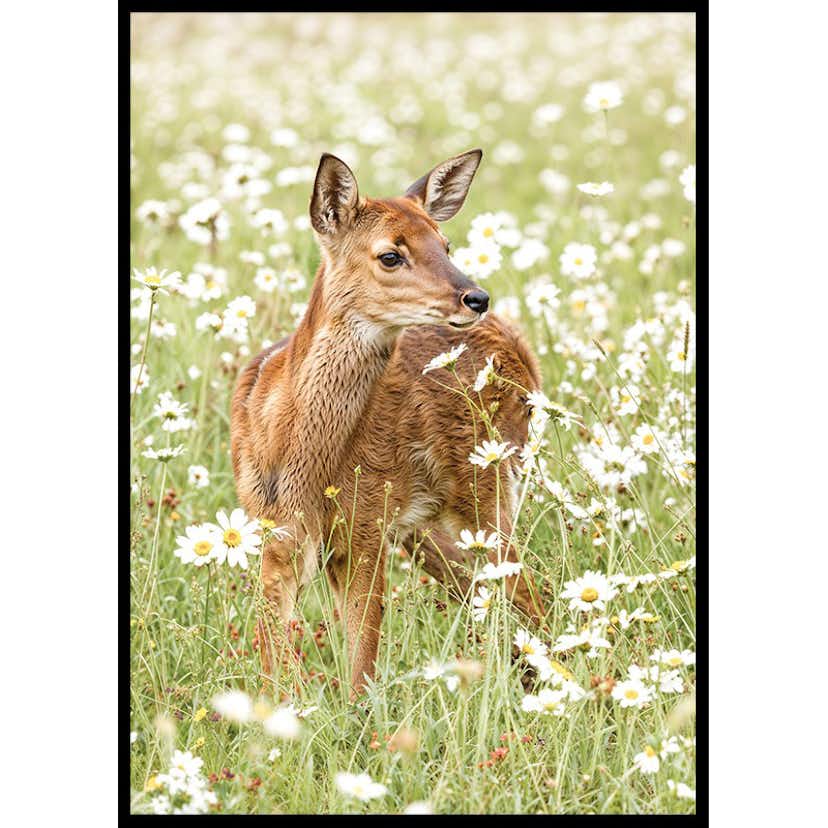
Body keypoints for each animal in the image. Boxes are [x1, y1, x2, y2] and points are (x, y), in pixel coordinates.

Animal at [231, 149, 545, 699]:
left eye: (446, 243)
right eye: (390, 255)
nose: (476, 297)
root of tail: (519, 346)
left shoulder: (365, 529)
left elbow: (361, 667)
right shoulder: (276, 534)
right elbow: (274, 660)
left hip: (488, 489)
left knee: (530, 593)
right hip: (428, 528)